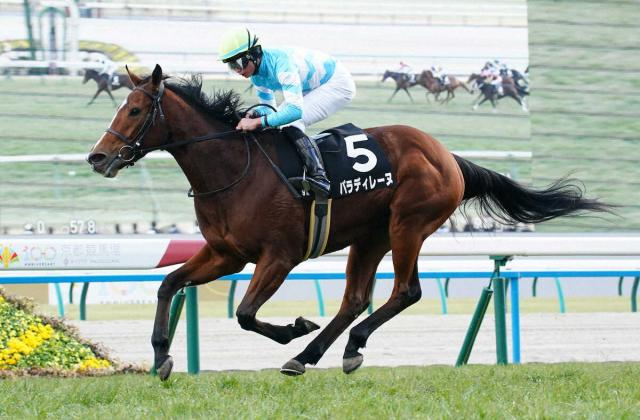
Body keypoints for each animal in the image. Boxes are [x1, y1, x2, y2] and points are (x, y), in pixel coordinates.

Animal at [87, 64, 611, 381]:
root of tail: (448, 156)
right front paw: (161, 356)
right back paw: (309, 356)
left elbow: (246, 313)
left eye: (135, 110)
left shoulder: (279, 257)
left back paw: (337, 347)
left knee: (405, 291)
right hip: (369, 237)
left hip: (407, 226)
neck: (234, 169)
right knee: (355, 299)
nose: (97, 157)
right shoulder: (225, 254)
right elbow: (167, 285)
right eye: (121, 106)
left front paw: (294, 327)